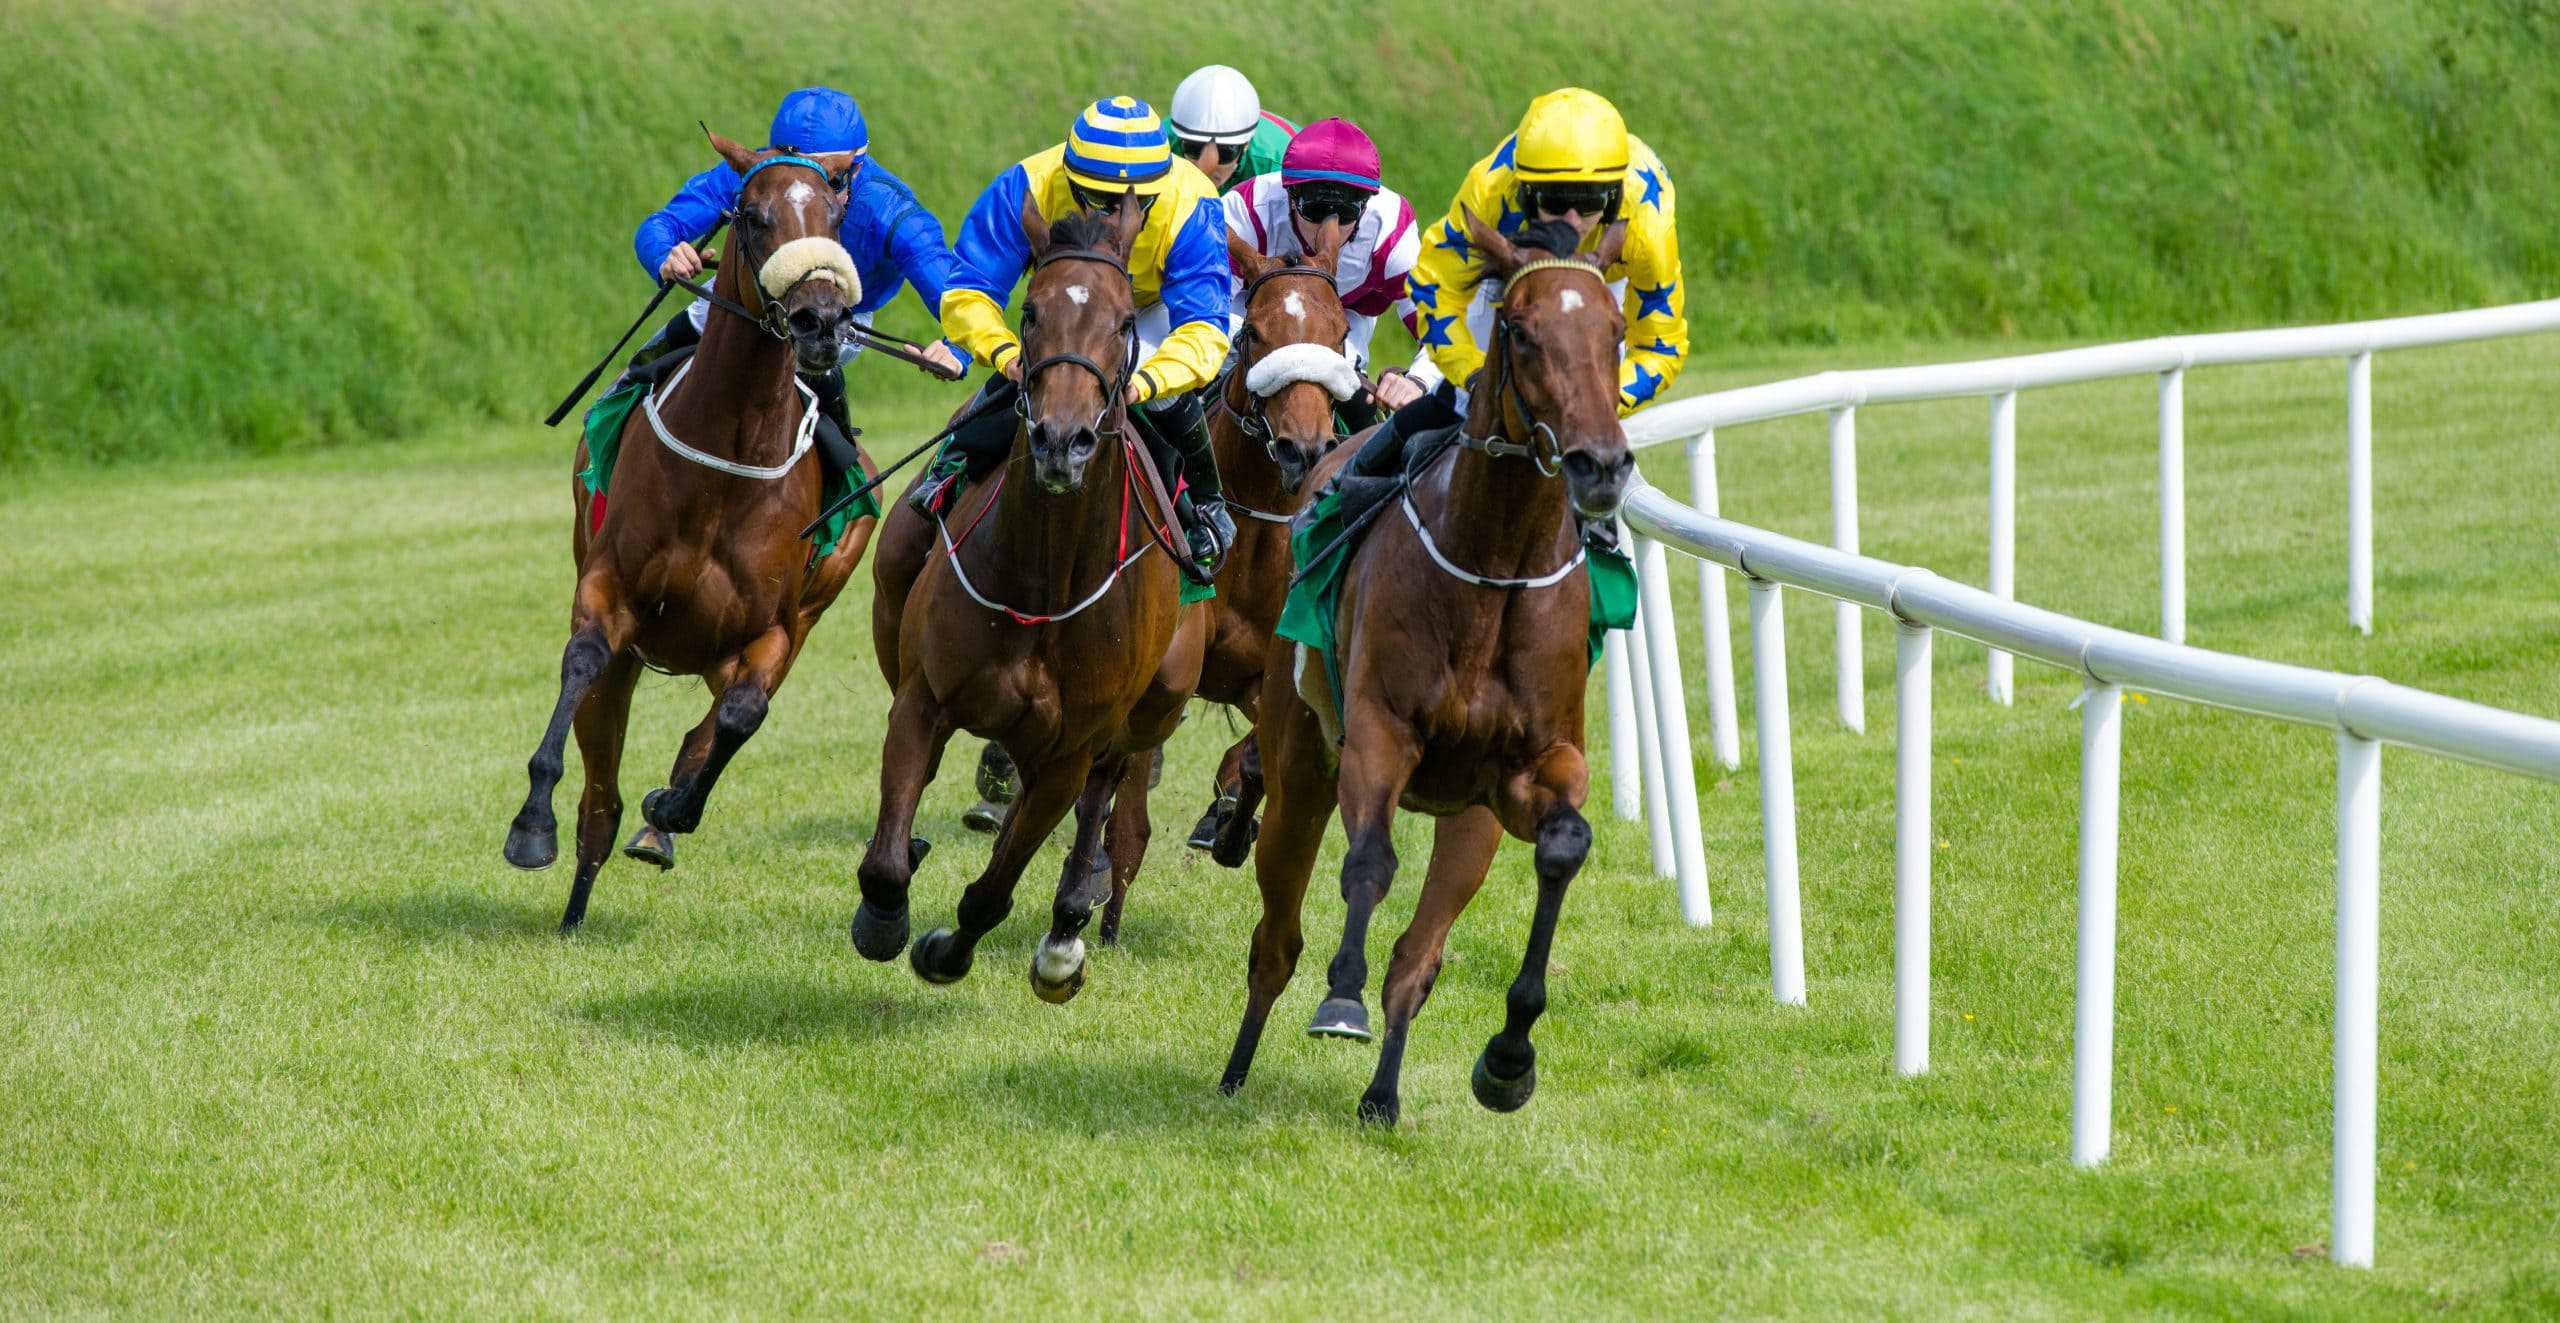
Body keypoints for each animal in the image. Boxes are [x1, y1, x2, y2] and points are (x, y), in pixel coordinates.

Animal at [499, 126, 880, 926]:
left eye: (835, 218)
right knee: (599, 802)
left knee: (714, 722)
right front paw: (530, 825)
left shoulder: (770, 630)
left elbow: (742, 713)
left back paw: (660, 816)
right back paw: (575, 904)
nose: (821, 321)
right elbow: (582, 660)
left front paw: (674, 806)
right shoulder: (609, 592)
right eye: (752, 216)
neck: (731, 452)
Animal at [839, 198, 1198, 1003]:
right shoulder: (924, 698)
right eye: (1031, 312)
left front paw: (953, 948)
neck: (1045, 578)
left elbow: (995, 888)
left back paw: (1067, 928)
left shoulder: (1069, 748)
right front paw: (884, 914)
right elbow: (888, 858)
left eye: (1123, 322)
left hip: (1153, 703)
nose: (1062, 439)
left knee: (1103, 790)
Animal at [1213, 211, 1638, 1120]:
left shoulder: (1527, 770)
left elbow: (1566, 843)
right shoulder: (1378, 731)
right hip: (1301, 759)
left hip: (1467, 819)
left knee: (1418, 955)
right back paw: (1236, 1068)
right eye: (1522, 330)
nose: (1600, 462)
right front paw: (1341, 998)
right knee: (1276, 936)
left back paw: (1382, 1095)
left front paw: (1510, 1055)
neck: (1495, 566)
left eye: (1615, 329)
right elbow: (1370, 861)